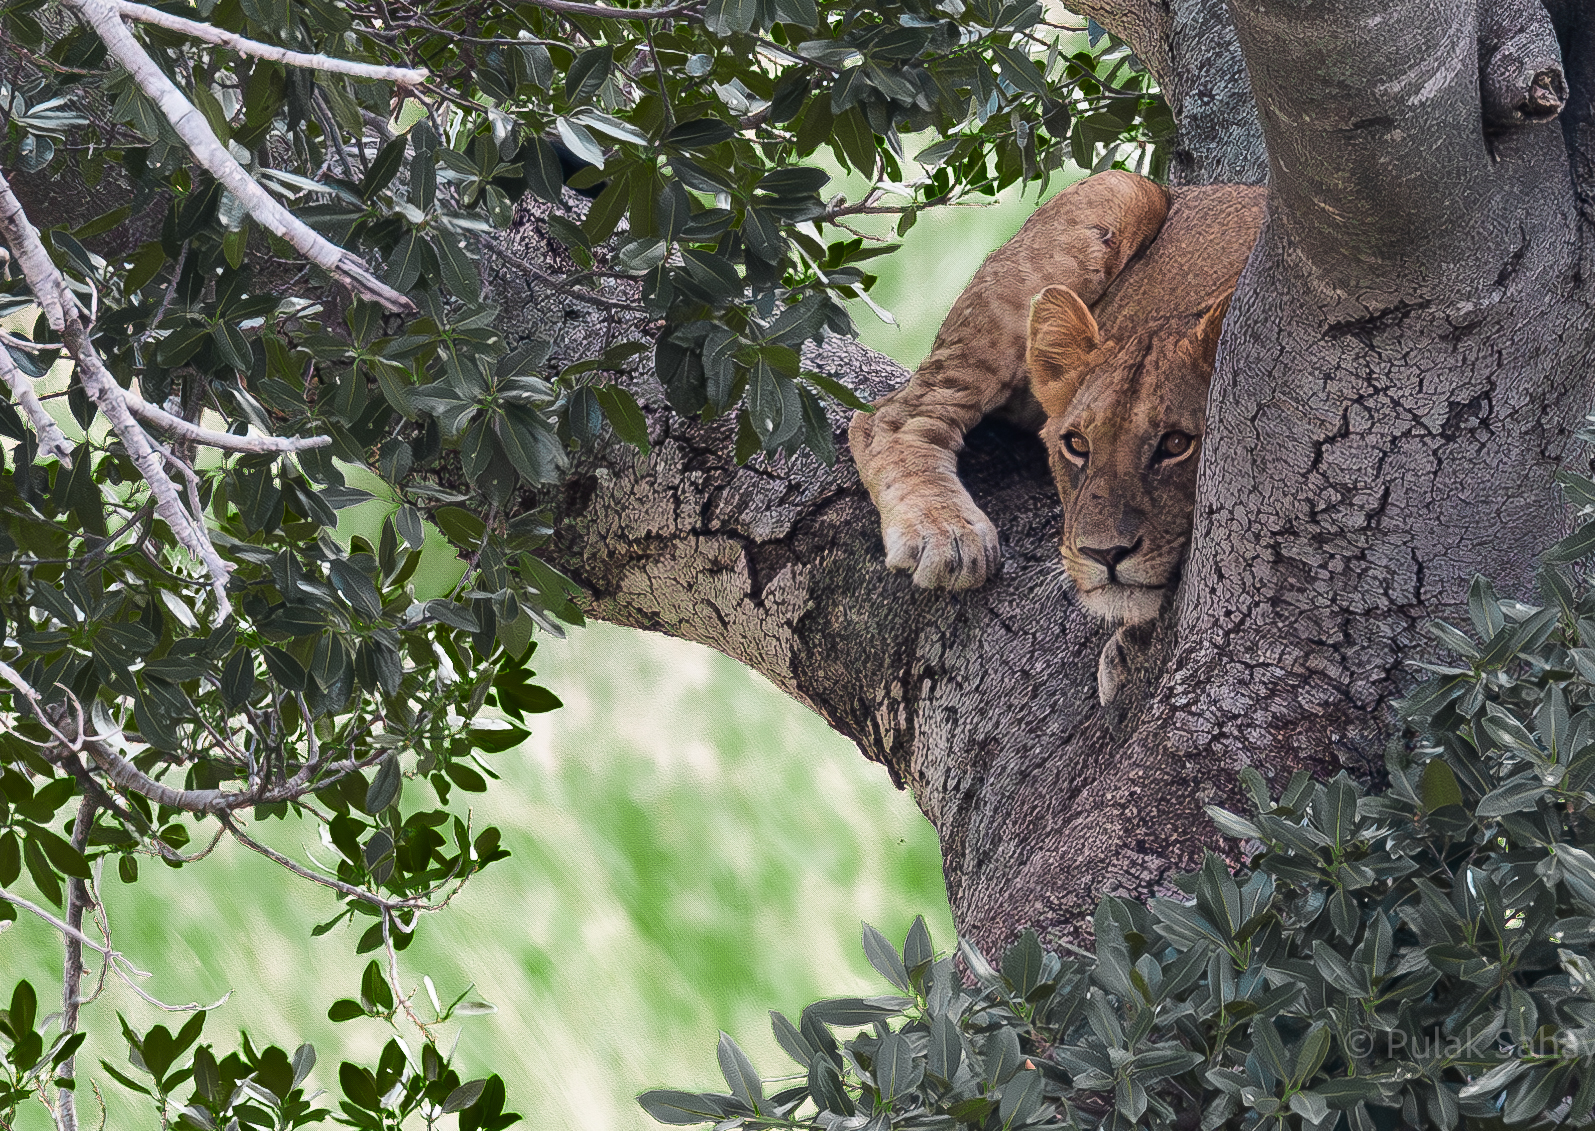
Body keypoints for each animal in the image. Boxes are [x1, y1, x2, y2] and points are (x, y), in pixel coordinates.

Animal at [848, 170, 1266, 703]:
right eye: (1077, 446)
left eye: (1176, 445)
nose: (1103, 555)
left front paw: (1129, 651)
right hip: (1118, 195)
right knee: (888, 417)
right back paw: (943, 534)